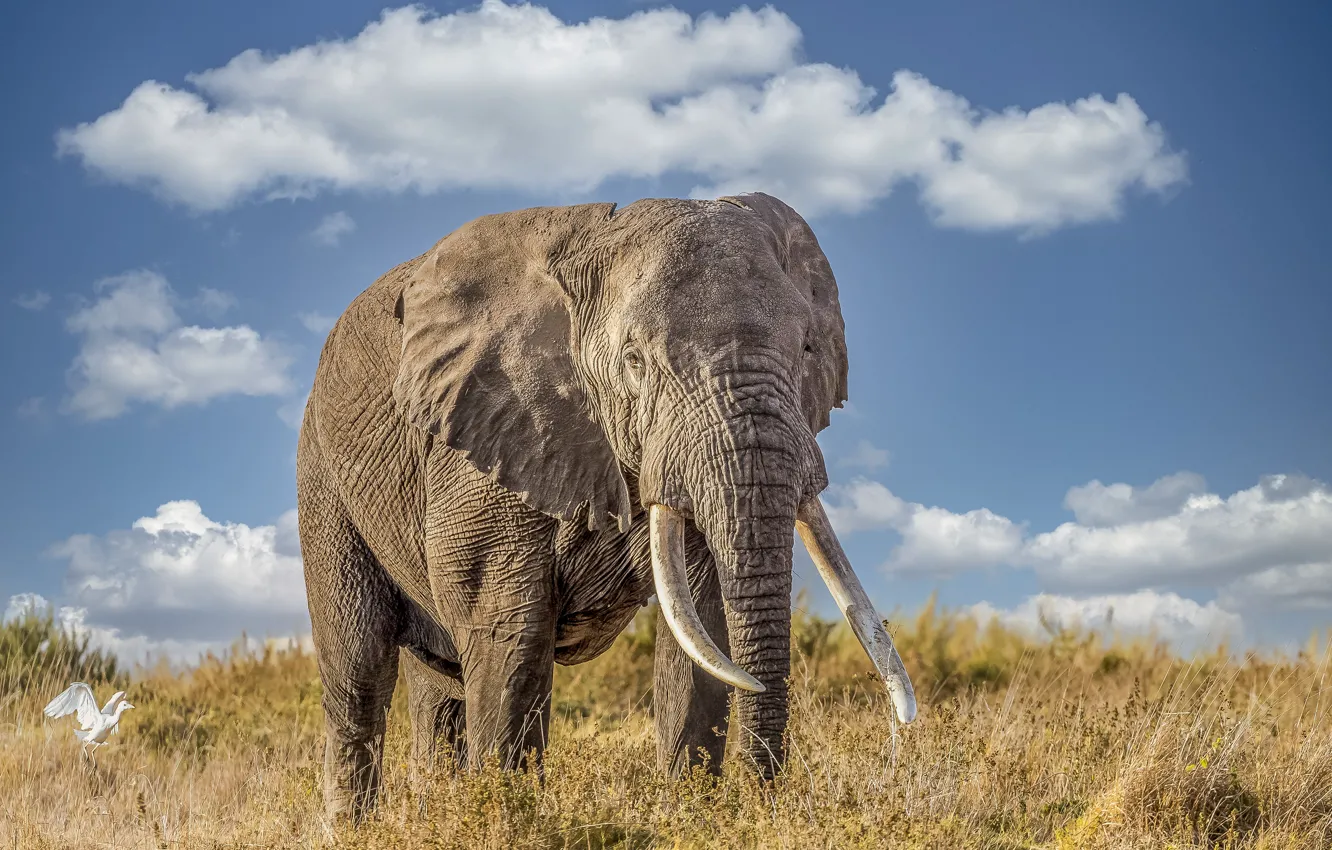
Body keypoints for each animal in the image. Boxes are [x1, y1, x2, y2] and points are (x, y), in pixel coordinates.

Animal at [295, 192, 917, 822]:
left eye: (807, 349)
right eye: (635, 361)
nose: (763, 802)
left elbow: (700, 631)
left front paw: (687, 819)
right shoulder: (486, 437)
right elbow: (510, 634)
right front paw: (507, 818)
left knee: (439, 682)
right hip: (322, 474)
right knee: (359, 672)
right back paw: (355, 827)